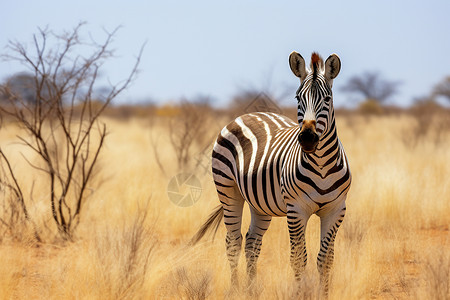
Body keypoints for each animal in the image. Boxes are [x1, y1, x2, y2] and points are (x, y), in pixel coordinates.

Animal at [191, 51, 352, 296]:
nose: (307, 138)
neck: (322, 166)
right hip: (228, 190)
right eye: (297, 98)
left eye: (327, 99)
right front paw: (299, 295)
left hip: (259, 203)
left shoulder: (335, 210)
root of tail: (249, 114)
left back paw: (250, 291)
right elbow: (298, 259)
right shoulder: (296, 210)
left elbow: (325, 260)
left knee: (252, 243)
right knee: (234, 241)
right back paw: (236, 289)